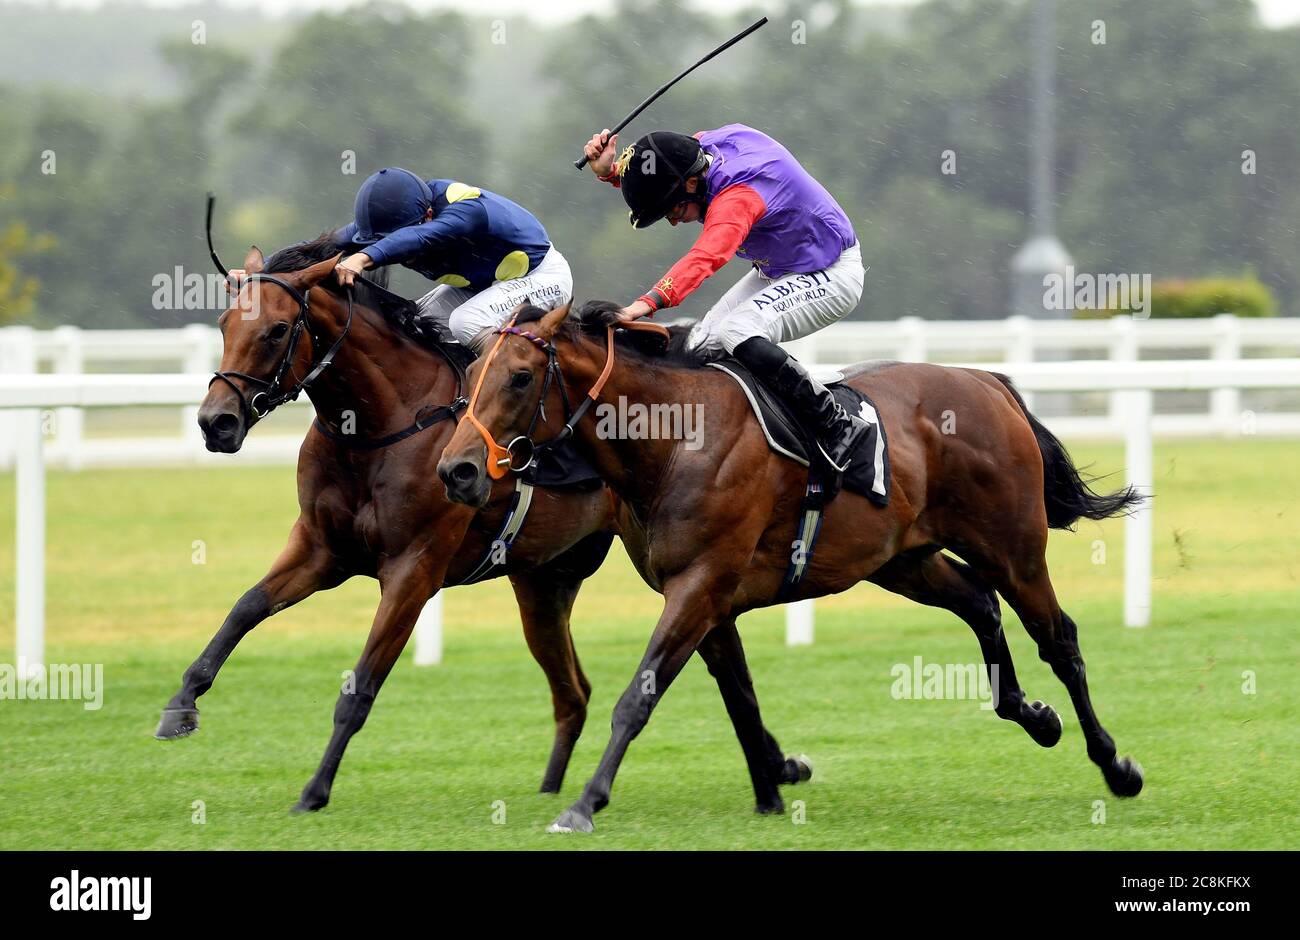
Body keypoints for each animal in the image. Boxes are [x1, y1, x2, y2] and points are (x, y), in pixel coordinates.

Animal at [157, 243, 806, 816]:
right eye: (223, 323)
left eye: (274, 331)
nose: (216, 422)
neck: (380, 426)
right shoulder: (322, 548)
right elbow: (246, 607)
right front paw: (180, 704)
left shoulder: (414, 569)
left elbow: (360, 687)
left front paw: (314, 791)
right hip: (545, 586)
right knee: (575, 694)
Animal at [439, 299, 1149, 832]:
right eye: (469, 379)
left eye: (520, 377)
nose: (457, 470)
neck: (674, 439)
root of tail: (987, 381)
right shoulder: (705, 594)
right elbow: (740, 697)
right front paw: (773, 786)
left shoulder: (700, 585)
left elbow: (638, 697)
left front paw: (584, 805)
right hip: (902, 559)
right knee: (978, 602)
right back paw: (1036, 717)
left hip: (1012, 548)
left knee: (1059, 638)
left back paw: (1115, 765)